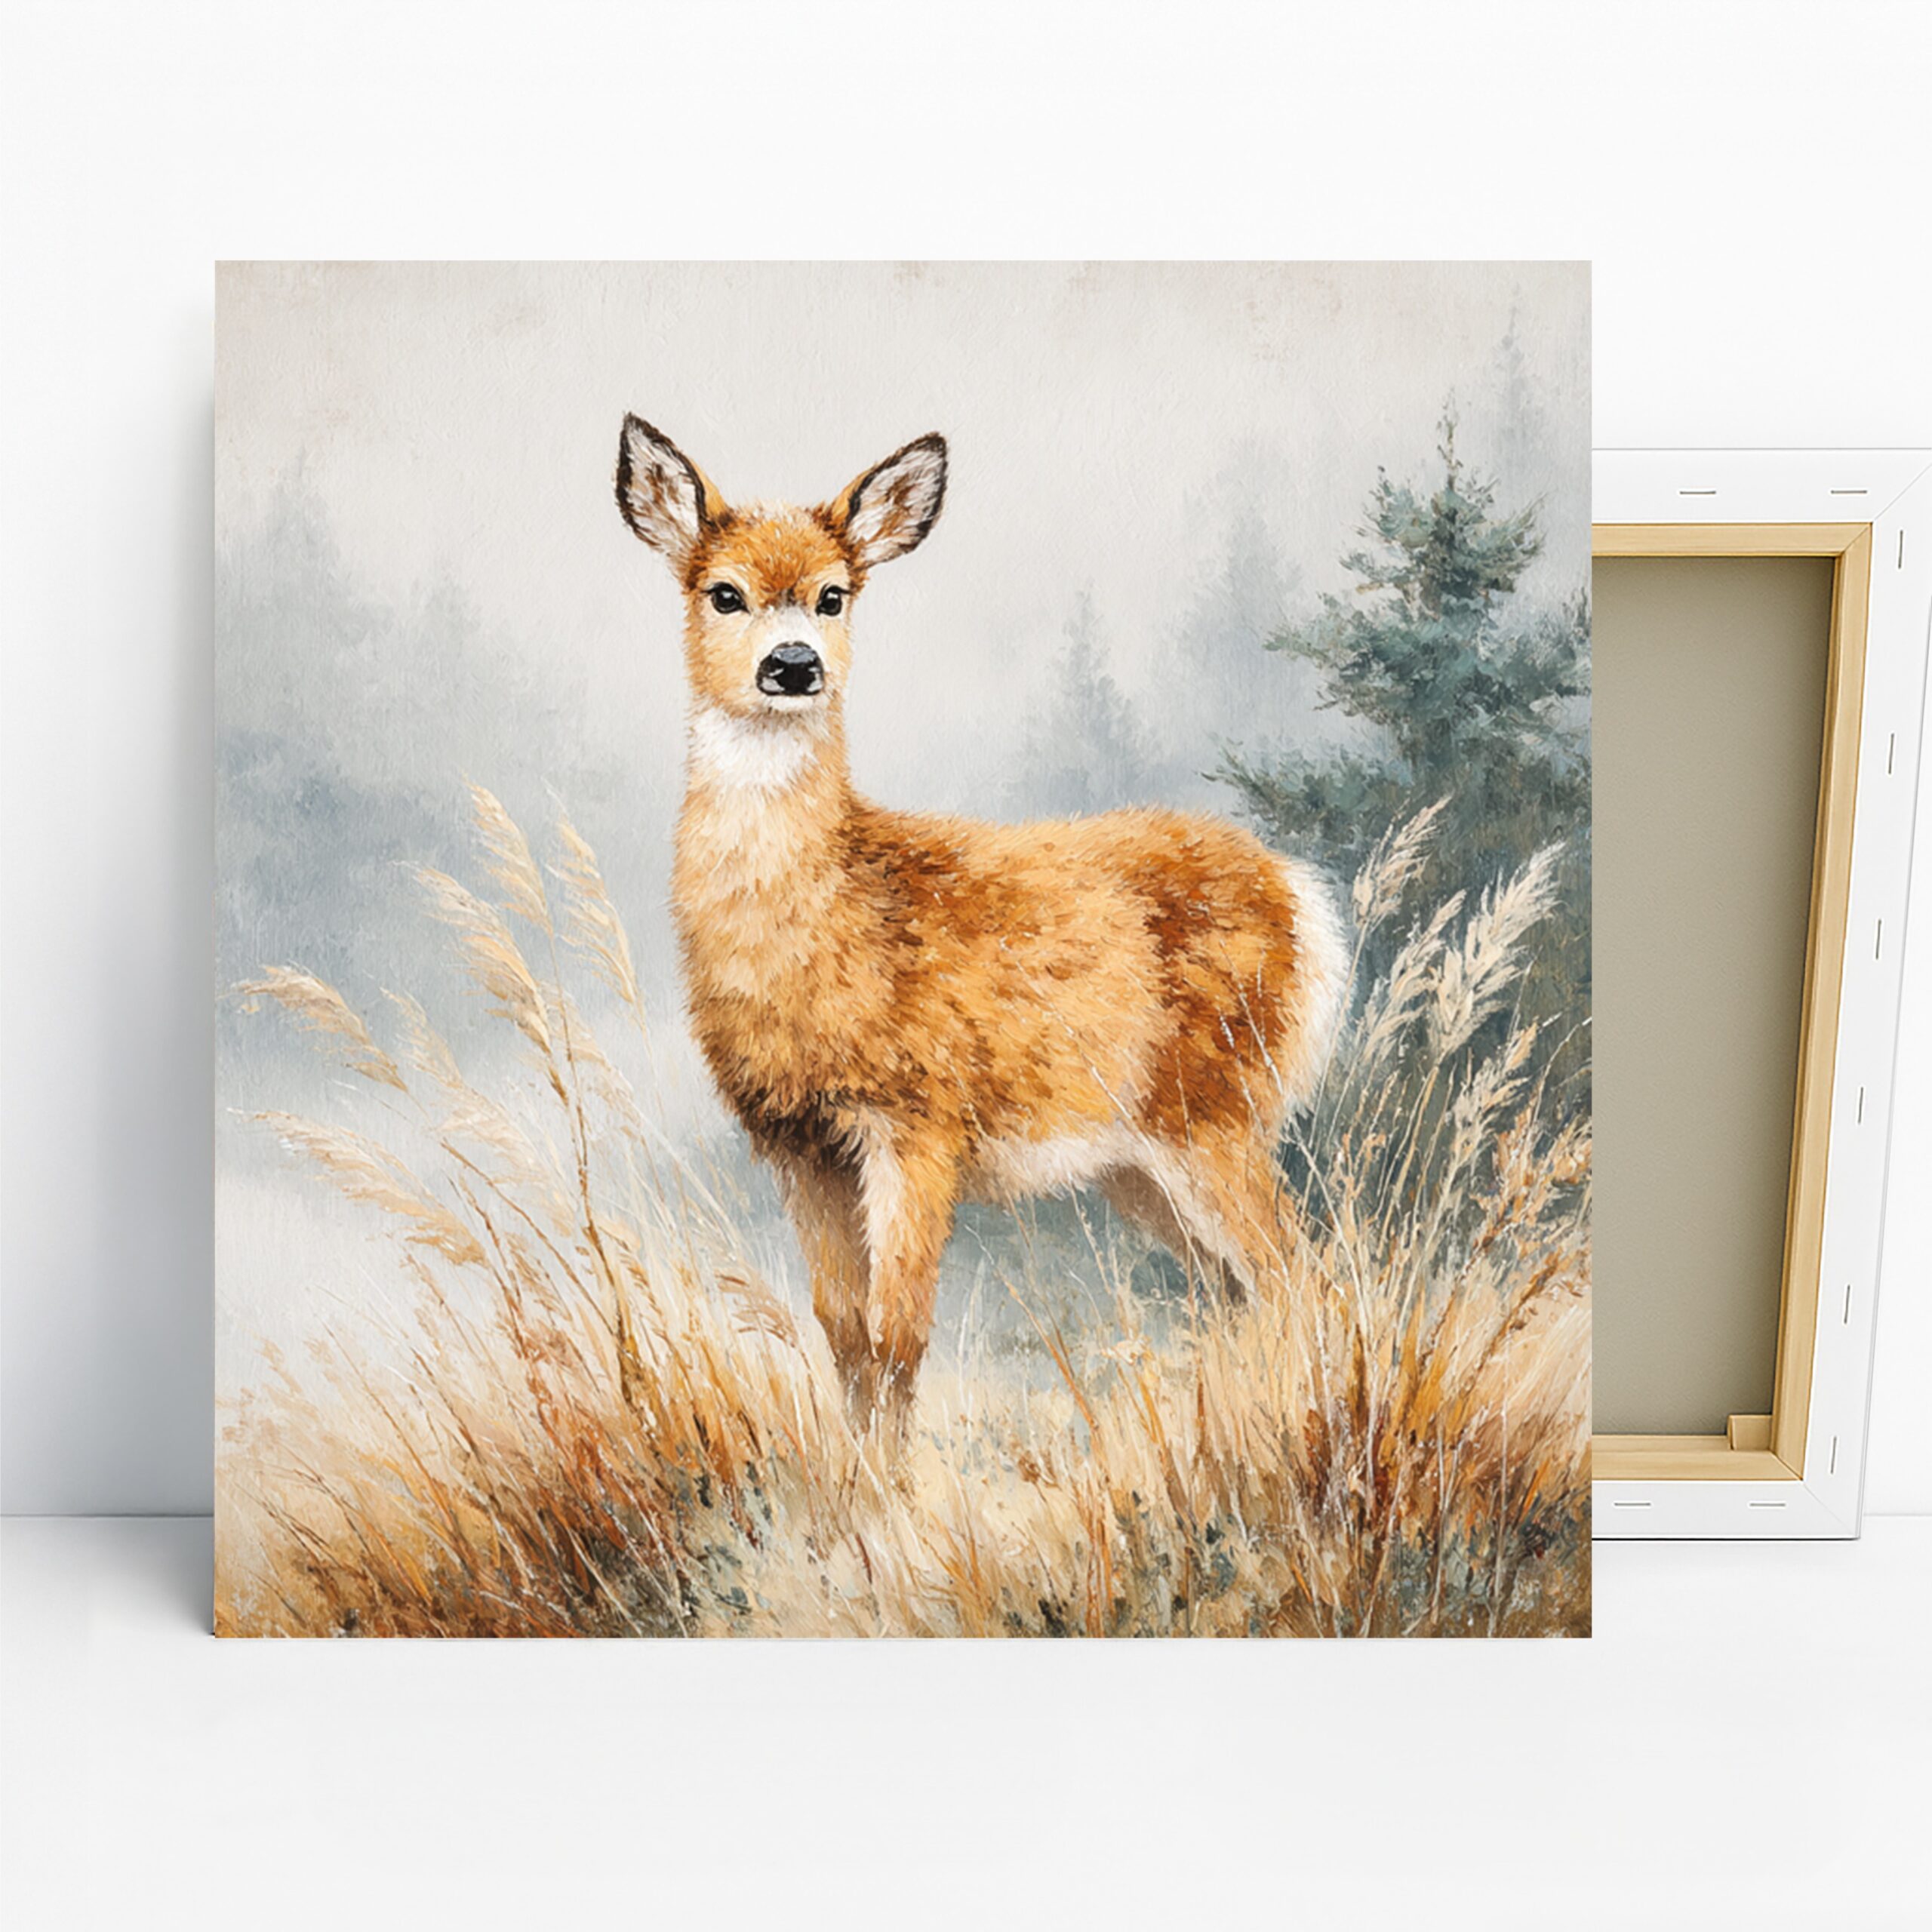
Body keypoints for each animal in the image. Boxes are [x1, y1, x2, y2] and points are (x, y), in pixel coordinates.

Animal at [614, 417, 1347, 1444]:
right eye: (724, 593)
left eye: (834, 594)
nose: (793, 665)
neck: (835, 920)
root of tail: (1305, 898)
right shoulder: (797, 1143)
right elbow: (844, 1336)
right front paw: (860, 1471)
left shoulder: (919, 1117)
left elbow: (898, 1335)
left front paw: (894, 1480)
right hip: (1140, 1158)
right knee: (1243, 1287)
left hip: (1214, 1105)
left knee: (1299, 1271)